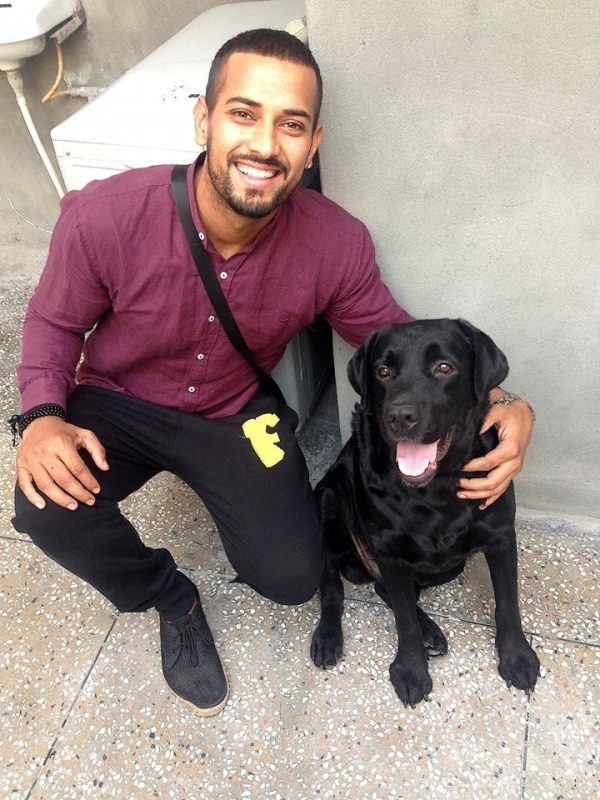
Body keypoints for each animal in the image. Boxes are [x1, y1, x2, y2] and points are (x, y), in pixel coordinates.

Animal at [312, 318, 540, 708]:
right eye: (383, 371)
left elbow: (508, 602)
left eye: (444, 367)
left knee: (384, 589)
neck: (435, 490)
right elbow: (403, 620)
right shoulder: (390, 554)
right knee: (334, 587)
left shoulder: (500, 534)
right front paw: (410, 670)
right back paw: (329, 636)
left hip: (448, 565)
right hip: (327, 503)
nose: (400, 415)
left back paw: (429, 630)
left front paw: (517, 657)